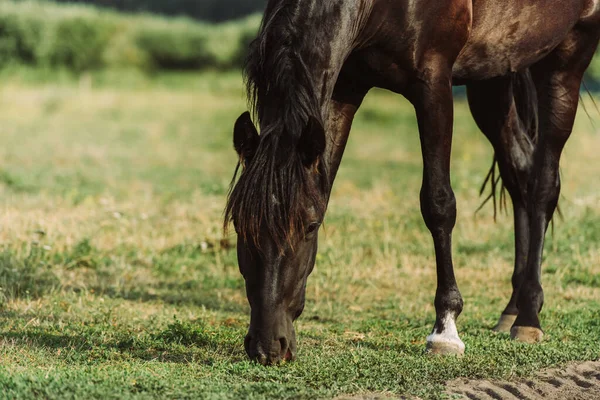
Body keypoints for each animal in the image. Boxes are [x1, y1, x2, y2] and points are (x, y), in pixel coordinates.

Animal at [224, 0, 600, 366]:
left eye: (310, 226)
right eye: (239, 225)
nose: (268, 346)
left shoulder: (433, 83)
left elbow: (438, 203)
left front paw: (445, 330)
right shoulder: (346, 86)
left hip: (568, 57)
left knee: (543, 187)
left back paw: (529, 317)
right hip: (494, 72)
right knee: (518, 173)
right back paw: (512, 309)